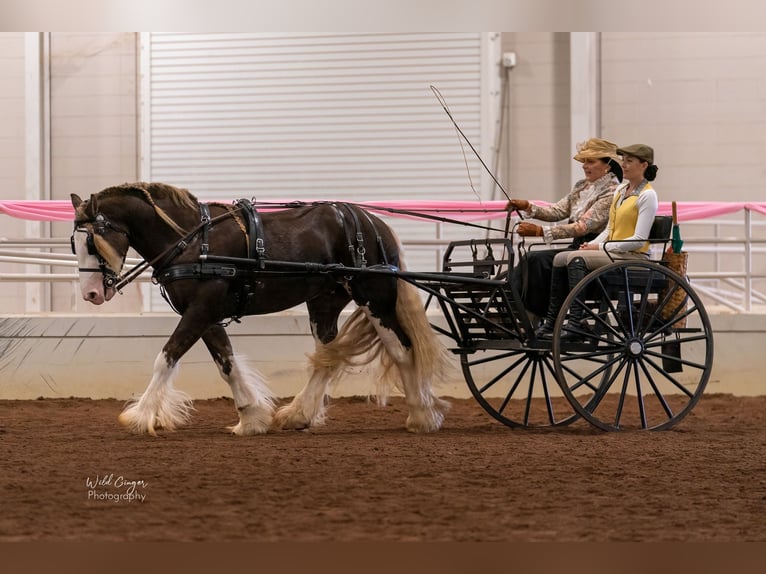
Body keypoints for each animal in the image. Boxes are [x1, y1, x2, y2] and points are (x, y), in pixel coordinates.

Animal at [70, 183, 452, 436]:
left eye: (92, 240)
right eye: (73, 243)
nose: (90, 293)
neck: (191, 241)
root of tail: (373, 222)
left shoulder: (202, 308)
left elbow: (167, 356)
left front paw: (141, 415)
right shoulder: (206, 313)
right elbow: (226, 363)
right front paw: (251, 416)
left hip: (375, 297)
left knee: (402, 350)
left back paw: (422, 415)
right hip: (325, 301)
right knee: (327, 357)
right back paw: (298, 414)